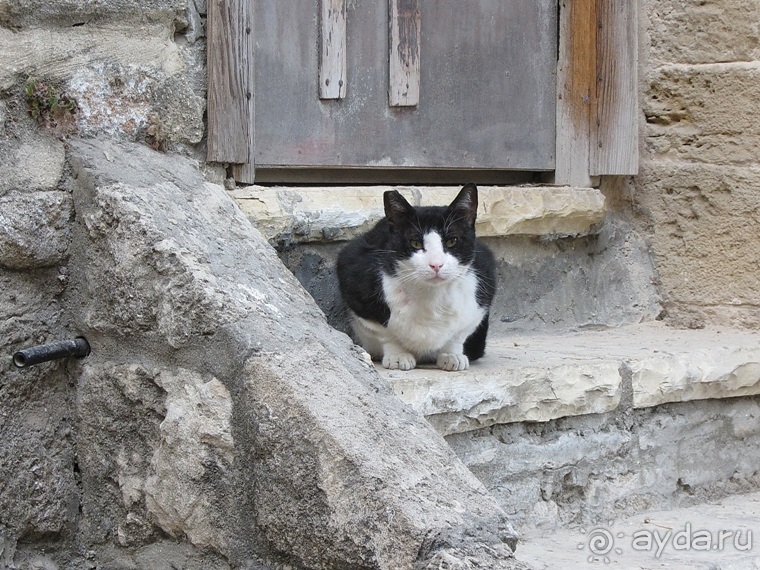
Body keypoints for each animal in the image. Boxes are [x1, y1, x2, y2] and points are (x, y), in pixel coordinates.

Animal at [336, 181, 492, 368]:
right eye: (415, 243)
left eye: (451, 241)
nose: (436, 264)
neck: (431, 296)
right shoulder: (355, 281)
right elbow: (384, 332)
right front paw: (398, 355)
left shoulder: (481, 295)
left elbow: (458, 334)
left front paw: (452, 355)